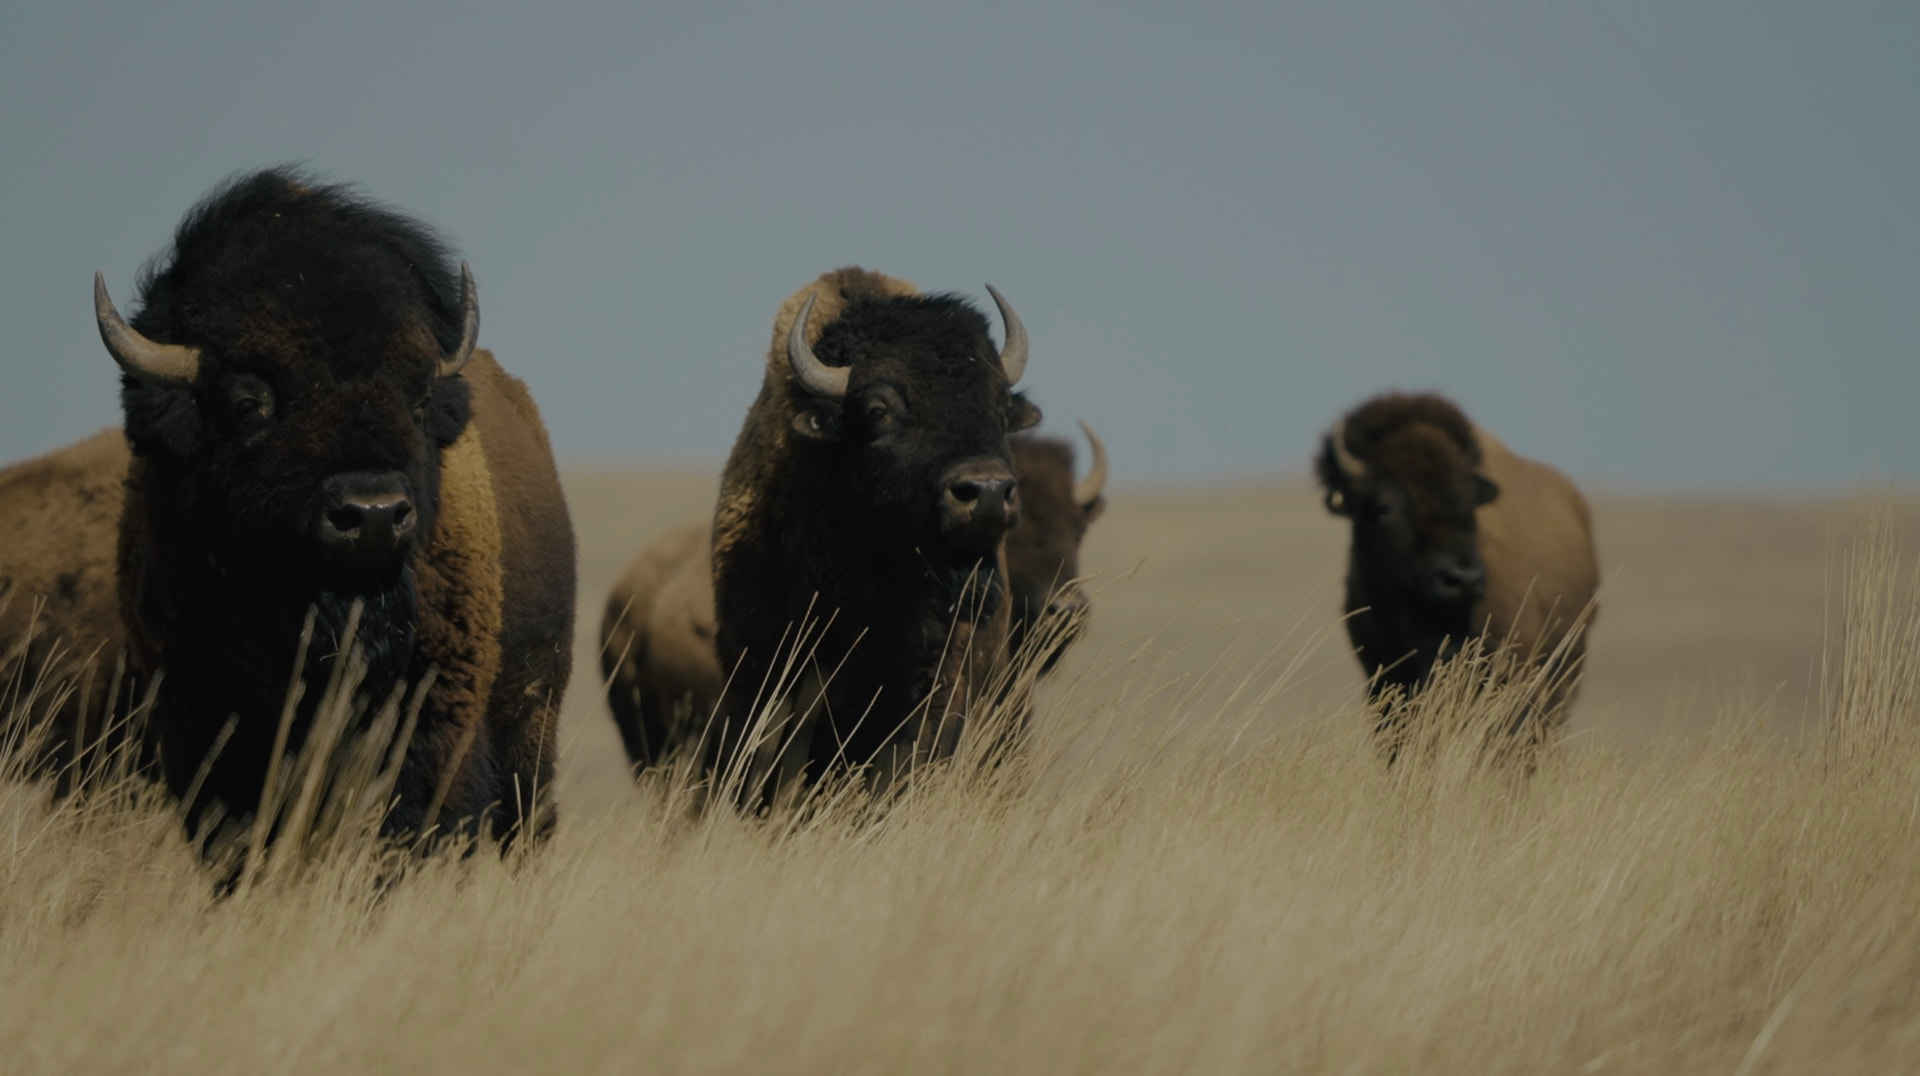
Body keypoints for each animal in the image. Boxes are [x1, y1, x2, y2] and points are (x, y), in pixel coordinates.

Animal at [0, 168, 576, 846]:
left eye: (418, 399)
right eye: (249, 403)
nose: (372, 515)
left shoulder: (434, 723)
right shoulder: (201, 720)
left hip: (531, 723)